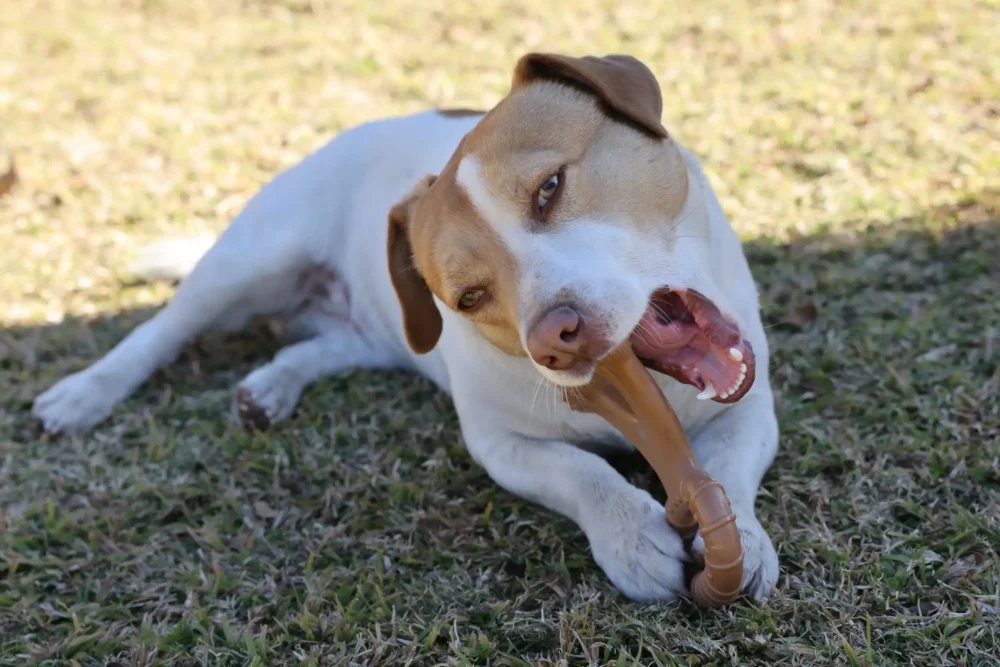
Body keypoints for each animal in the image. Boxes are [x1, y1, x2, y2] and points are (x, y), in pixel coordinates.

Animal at [31, 54, 780, 604]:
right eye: (470, 296)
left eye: (550, 186)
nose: (554, 336)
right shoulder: (501, 444)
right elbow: (580, 471)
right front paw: (633, 537)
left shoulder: (750, 410)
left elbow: (726, 467)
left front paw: (742, 537)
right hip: (247, 263)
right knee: (161, 331)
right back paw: (83, 393)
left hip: (371, 326)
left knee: (319, 345)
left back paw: (270, 388)